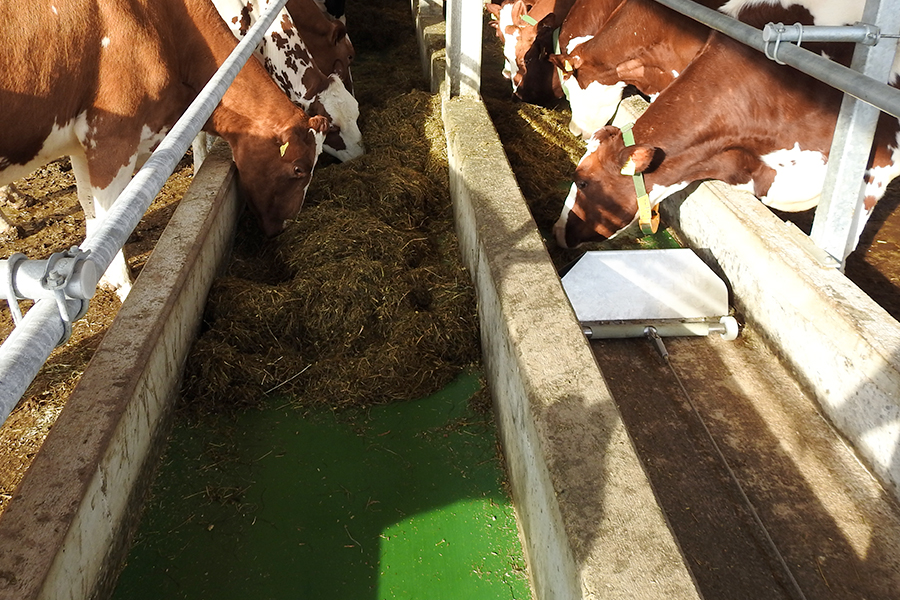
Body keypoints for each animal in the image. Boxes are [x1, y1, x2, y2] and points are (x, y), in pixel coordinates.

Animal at [0, 0, 330, 300]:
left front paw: (99, 281)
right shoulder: (113, 138)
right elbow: (109, 223)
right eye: (299, 169)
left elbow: (89, 209)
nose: (285, 227)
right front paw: (123, 287)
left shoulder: (83, 146)